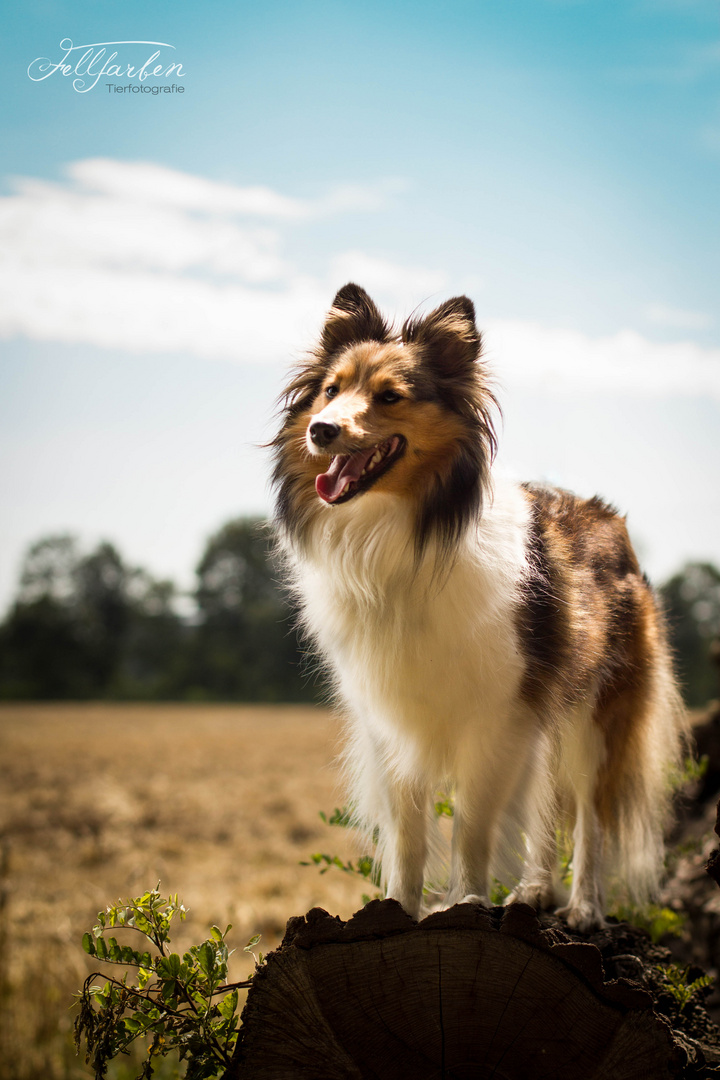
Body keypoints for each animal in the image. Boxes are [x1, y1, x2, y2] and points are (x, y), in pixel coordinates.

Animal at [269, 282, 686, 933]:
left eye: (389, 396)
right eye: (331, 390)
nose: (320, 430)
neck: (402, 532)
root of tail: (610, 517)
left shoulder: (497, 716)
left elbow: (473, 823)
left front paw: (465, 903)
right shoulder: (391, 720)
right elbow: (409, 833)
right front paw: (398, 909)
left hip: (598, 716)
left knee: (589, 815)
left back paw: (583, 906)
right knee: (548, 804)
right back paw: (535, 891)